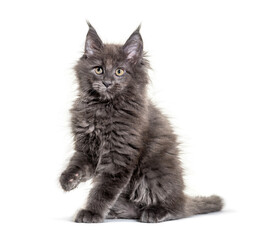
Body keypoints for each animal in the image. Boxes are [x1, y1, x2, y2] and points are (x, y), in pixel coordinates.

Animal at [59, 22, 223, 223]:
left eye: (119, 71)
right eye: (98, 69)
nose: (107, 82)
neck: (103, 107)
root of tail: (184, 198)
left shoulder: (119, 156)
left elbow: (103, 189)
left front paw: (91, 212)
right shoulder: (86, 146)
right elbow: (77, 162)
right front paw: (68, 180)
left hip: (153, 172)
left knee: (175, 208)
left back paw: (155, 212)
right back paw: (118, 212)